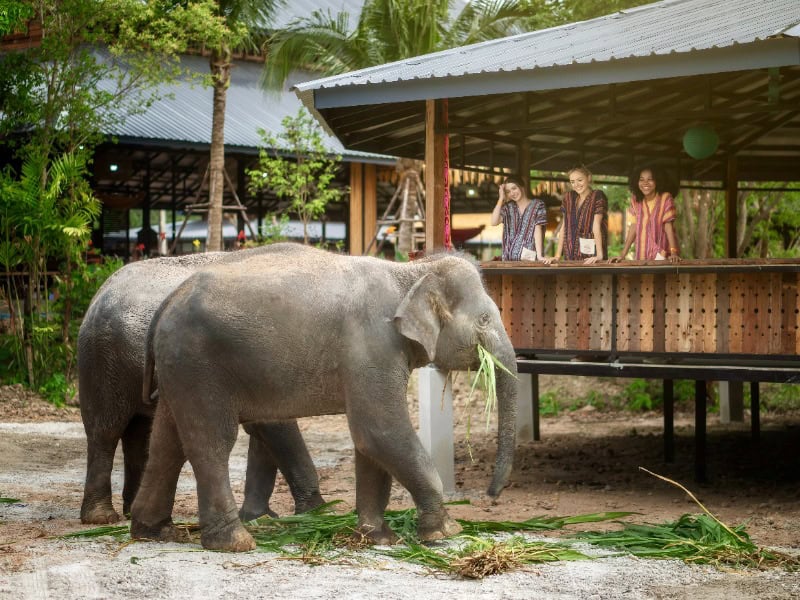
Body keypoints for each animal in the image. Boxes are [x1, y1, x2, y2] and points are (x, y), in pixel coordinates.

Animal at [78, 247, 324, 524]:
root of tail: (100, 292)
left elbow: (265, 429)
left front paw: (258, 517)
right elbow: (273, 426)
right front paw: (317, 512)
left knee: (138, 432)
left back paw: (131, 512)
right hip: (103, 361)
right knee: (105, 431)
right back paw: (101, 518)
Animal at [130, 243, 518, 551]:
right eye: (485, 319)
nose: (490, 496)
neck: (409, 273)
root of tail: (169, 299)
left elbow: (369, 443)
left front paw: (378, 538)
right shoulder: (372, 346)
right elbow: (379, 431)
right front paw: (446, 532)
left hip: (181, 369)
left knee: (167, 443)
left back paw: (154, 531)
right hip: (199, 364)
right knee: (211, 443)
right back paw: (234, 542)